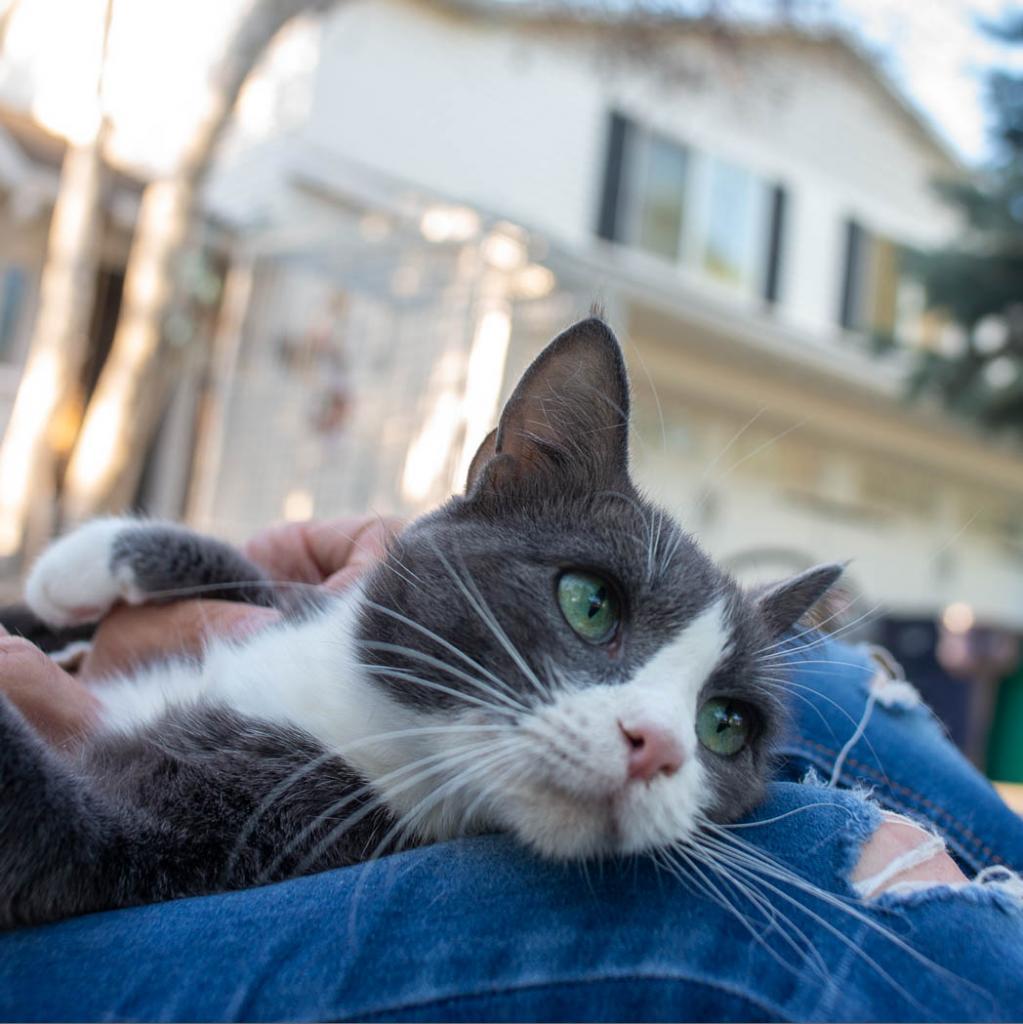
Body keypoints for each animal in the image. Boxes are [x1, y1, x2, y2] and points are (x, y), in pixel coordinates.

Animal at [0, 317, 839, 929]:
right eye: (589, 603)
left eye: (725, 725)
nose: (656, 745)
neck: (367, 719)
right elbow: (275, 582)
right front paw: (80, 567)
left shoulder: (234, 829)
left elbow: (51, 832)